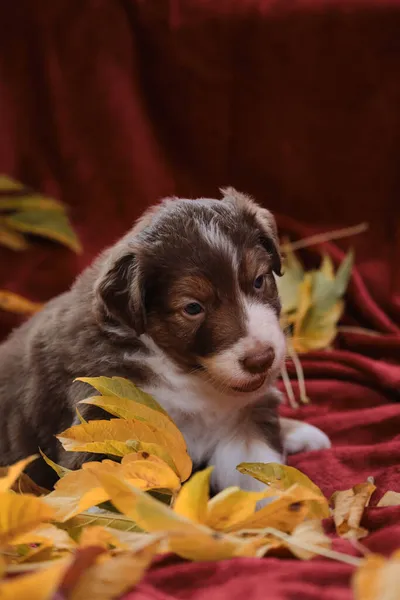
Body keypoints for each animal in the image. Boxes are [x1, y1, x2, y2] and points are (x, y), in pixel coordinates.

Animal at [0, 190, 330, 490]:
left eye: (259, 281)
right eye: (193, 308)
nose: (261, 359)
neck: (189, 374)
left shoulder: (244, 420)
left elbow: (260, 480)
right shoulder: (105, 422)